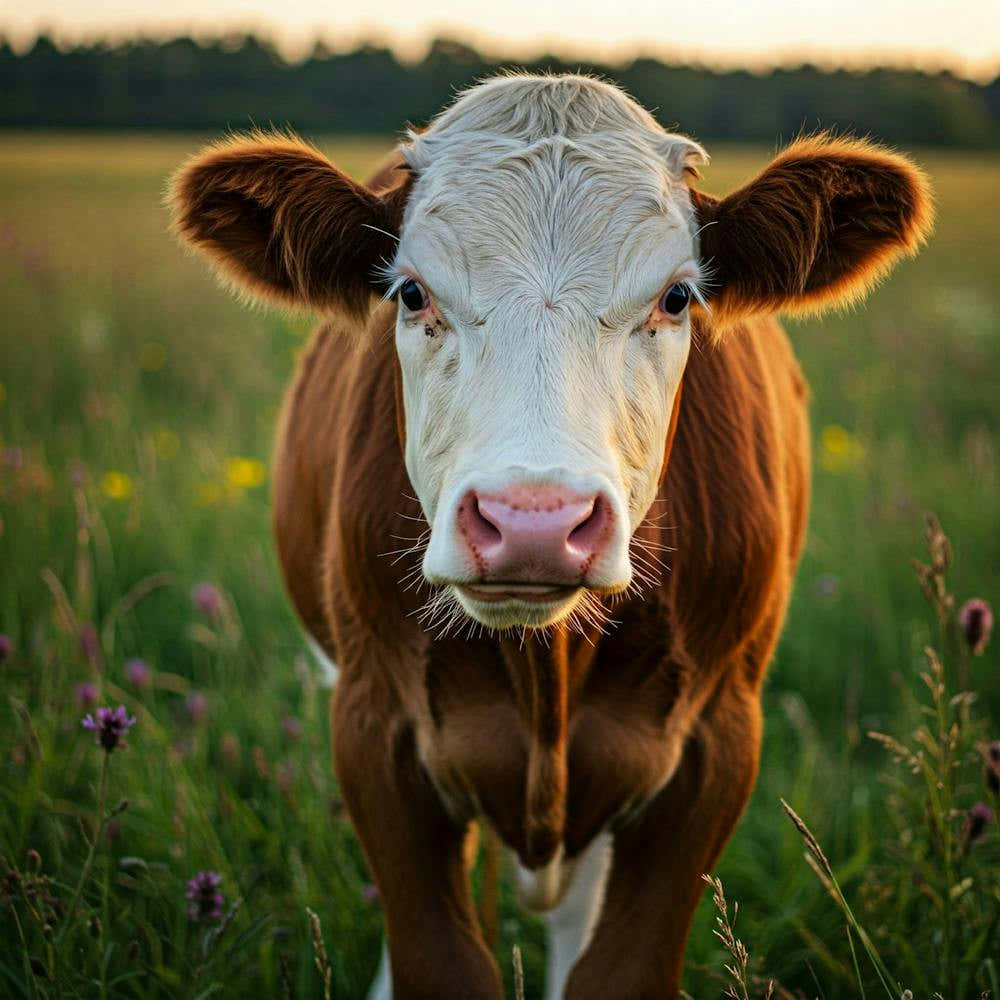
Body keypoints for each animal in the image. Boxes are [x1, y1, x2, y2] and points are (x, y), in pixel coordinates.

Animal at [170, 74, 932, 999]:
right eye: (411, 293)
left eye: (677, 296)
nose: (533, 522)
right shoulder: (373, 723)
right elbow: (438, 961)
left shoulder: (717, 739)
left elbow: (618, 968)